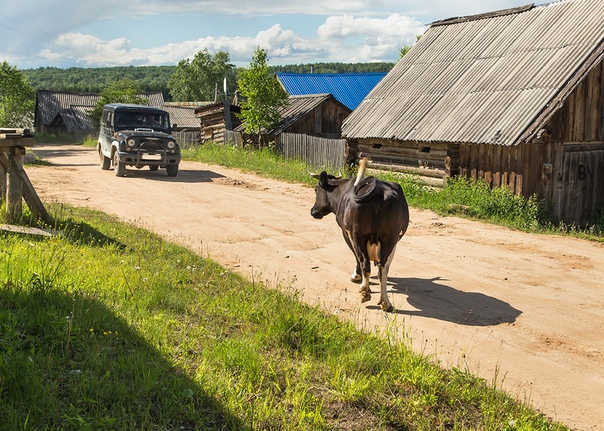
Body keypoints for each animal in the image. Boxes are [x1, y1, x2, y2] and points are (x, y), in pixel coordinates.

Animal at [312, 157, 410, 312]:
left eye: (316, 189)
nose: (313, 211)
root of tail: (377, 190)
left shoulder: (346, 233)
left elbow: (356, 256)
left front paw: (356, 277)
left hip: (358, 234)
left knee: (364, 262)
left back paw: (365, 292)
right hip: (389, 237)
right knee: (383, 267)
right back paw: (385, 302)